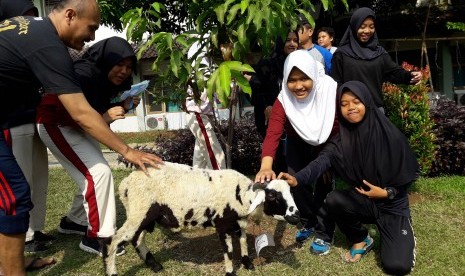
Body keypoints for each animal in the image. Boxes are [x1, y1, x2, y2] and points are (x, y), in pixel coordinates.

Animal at [103, 162, 300, 276]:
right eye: (273, 195)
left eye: (290, 191)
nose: (296, 216)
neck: (243, 196)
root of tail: (125, 184)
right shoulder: (222, 224)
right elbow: (228, 250)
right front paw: (230, 272)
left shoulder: (237, 222)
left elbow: (243, 240)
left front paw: (247, 263)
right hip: (139, 210)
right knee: (114, 240)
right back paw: (112, 271)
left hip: (144, 215)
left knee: (137, 238)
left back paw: (155, 265)